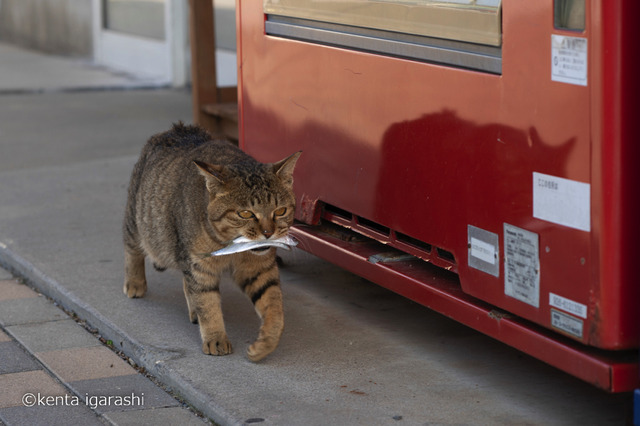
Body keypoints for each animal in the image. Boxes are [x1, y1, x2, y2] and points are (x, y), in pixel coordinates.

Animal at [123, 121, 302, 362]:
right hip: (138, 221)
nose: (268, 232)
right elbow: (208, 304)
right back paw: (135, 283)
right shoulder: (199, 266)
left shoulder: (260, 269)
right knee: (132, 248)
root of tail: (177, 128)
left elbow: (274, 307)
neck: (231, 247)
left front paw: (265, 344)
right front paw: (215, 338)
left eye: (280, 211)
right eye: (246, 213)